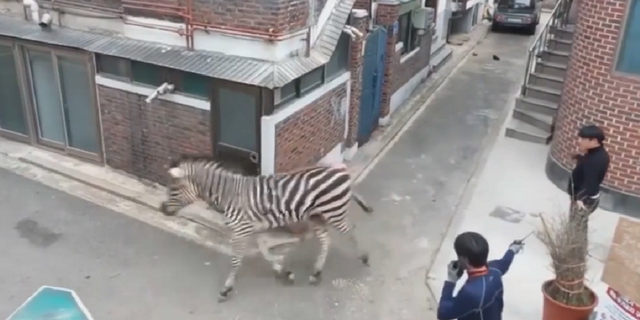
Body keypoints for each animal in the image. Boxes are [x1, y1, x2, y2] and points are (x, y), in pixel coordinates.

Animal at [157, 154, 372, 302]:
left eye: (173, 189)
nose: (162, 209)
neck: (229, 195)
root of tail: (341, 170)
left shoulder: (241, 231)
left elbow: (236, 260)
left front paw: (226, 288)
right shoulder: (252, 229)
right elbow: (263, 250)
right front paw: (283, 271)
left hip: (333, 212)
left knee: (350, 232)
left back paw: (364, 258)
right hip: (317, 217)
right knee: (326, 240)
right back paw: (316, 273)